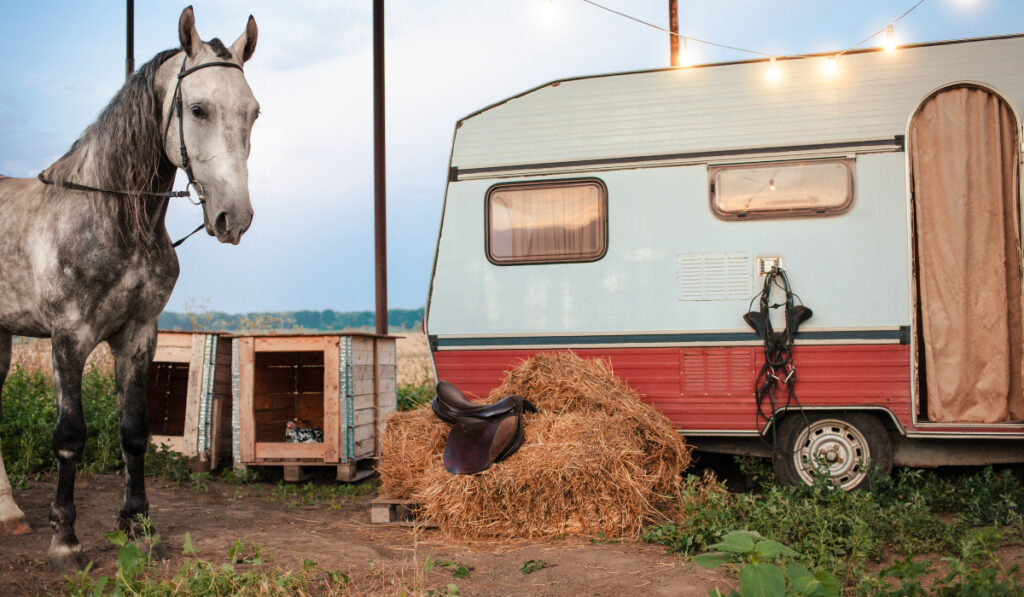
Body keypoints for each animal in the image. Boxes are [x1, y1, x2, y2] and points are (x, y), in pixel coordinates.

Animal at [0, 7, 260, 573]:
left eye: (253, 113)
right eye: (198, 108)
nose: (235, 218)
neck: (114, 218)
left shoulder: (138, 336)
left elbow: (135, 431)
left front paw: (138, 528)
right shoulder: (69, 338)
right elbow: (70, 436)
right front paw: (65, 540)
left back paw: (8, 513)